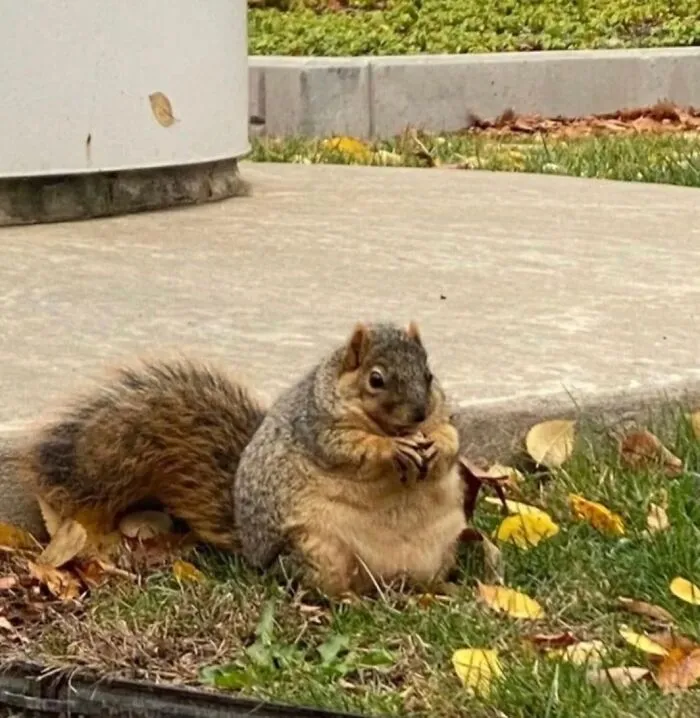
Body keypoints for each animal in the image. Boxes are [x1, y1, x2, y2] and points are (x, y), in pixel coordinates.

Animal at [235, 321, 467, 597]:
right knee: (320, 587)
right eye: (375, 379)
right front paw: (392, 447)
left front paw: (437, 446)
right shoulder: (322, 429)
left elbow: (450, 438)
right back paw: (347, 598)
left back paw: (445, 588)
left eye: (429, 375)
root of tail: (382, 581)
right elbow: (354, 447)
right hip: (316, 551)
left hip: (446, 547)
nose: (420, 413)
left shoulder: (440, 416)